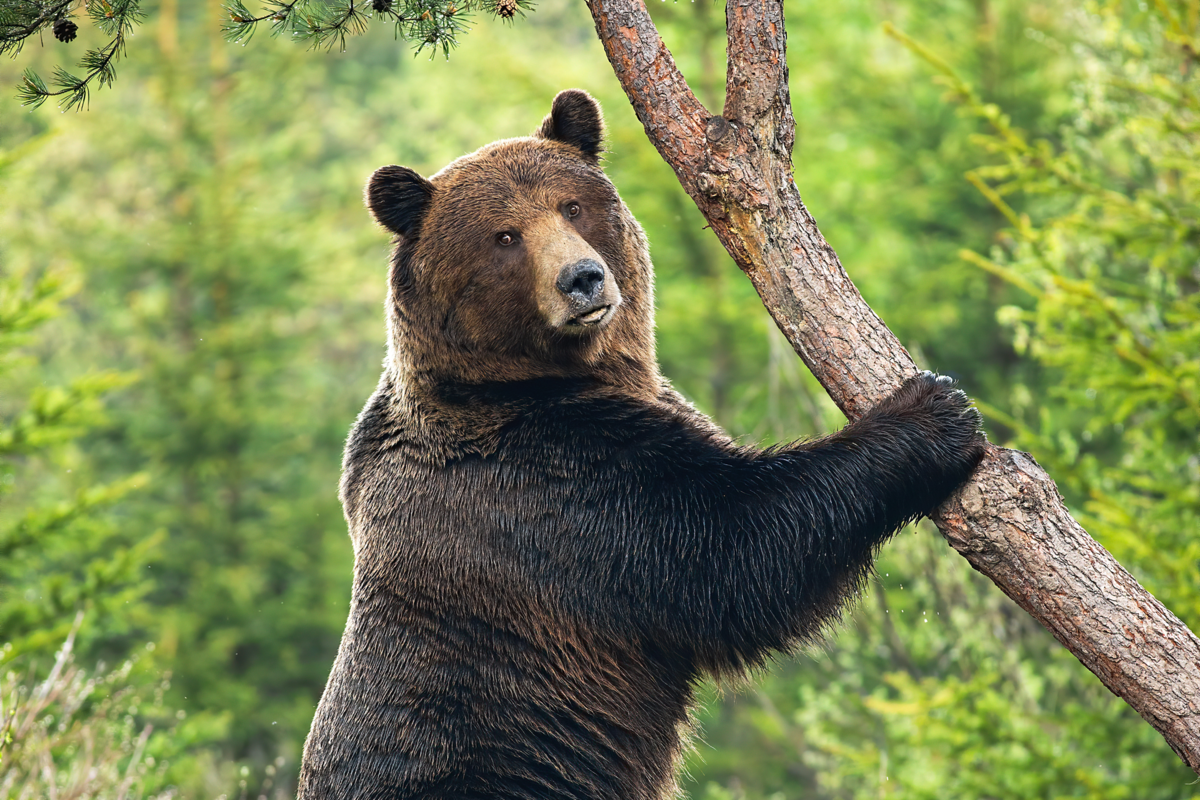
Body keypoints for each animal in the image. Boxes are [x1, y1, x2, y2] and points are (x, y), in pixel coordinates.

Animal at [300, 90, 984, 796]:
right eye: (505, 237)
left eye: (572, 206)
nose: (582, 279)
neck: (536, 378)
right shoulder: (543, 486)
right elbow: (728, 545)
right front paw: (934, 411)